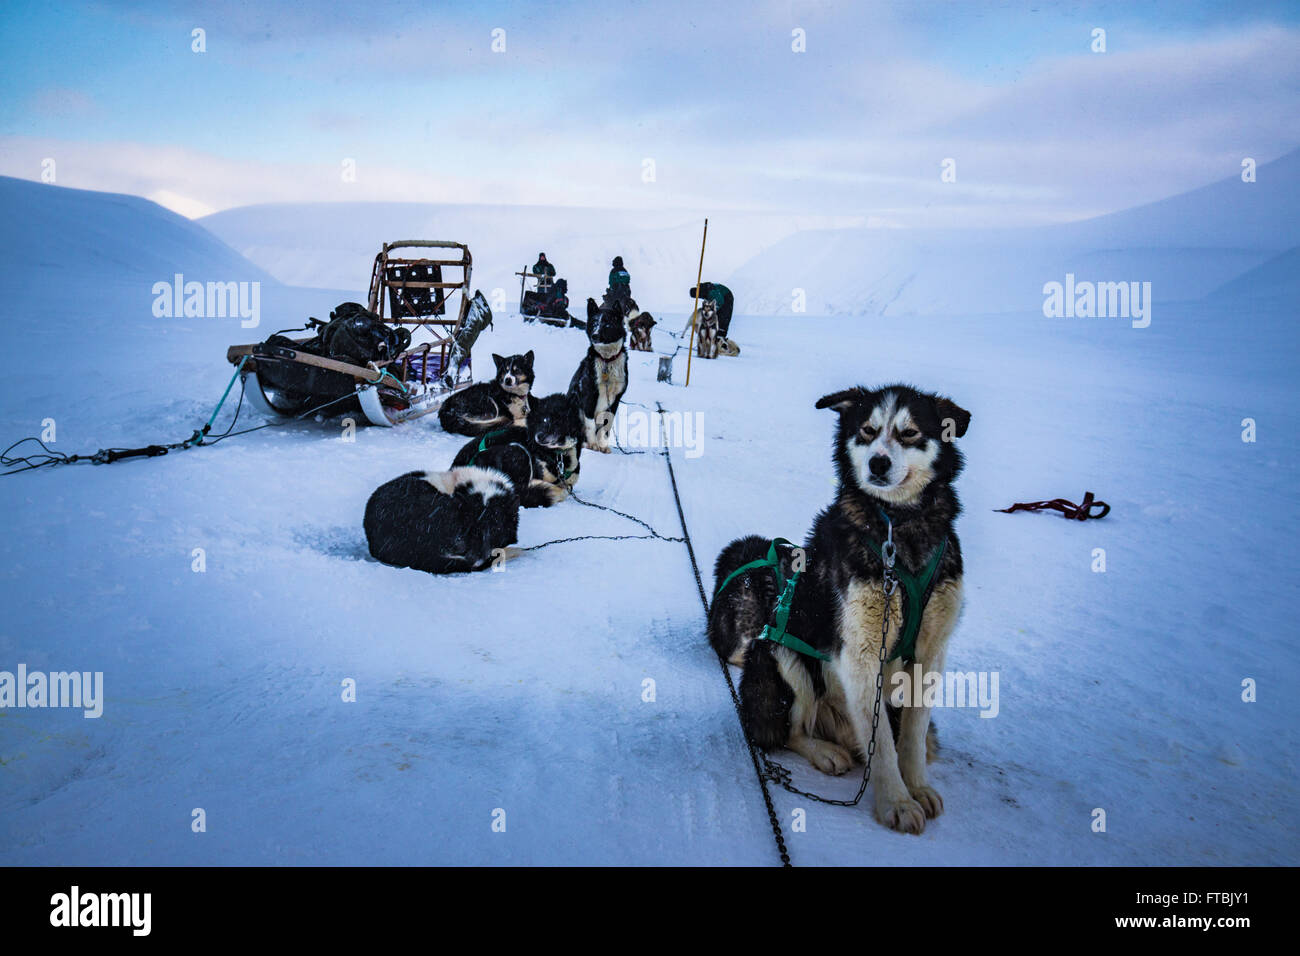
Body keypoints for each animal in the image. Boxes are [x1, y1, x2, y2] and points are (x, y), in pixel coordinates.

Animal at [569, 297, 629, 455]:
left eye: (607, 323)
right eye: (595, 323)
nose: (594, 335)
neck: (607, 360)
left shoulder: (615, 400)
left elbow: (606, 426)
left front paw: (602, 445)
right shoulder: (589, 395)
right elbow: (590, 425)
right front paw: (593, 445)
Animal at [717, 385, 972, 832]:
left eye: (909, 433)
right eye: (867, 430)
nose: (878, 462)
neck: (897, 532)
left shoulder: (931, 653)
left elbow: (912, 735)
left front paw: (916, 787)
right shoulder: (860, 652)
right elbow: (882, 744)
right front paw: (896, 802)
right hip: (784, 656)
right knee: (788, 732)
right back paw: (824, 752)